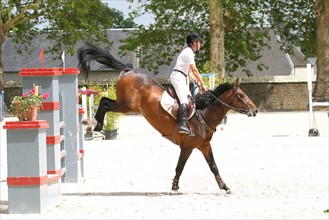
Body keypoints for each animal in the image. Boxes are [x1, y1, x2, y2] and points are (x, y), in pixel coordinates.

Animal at [77, 42, 256, 193]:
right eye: (241, 95)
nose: (254, 110)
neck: (204, 115)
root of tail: (130, 71)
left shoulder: (205, 146)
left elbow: (213, 166)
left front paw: (225, 187)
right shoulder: (187, 147)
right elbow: (180, 167)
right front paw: (175, 187)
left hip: (125, 105)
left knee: (104, 101)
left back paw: (94, 124)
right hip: (126, 105)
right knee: (105, 102)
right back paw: (95, 124)